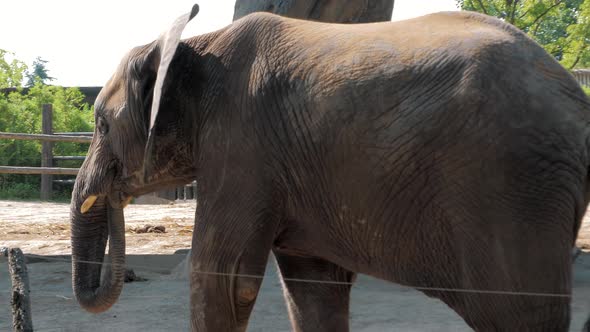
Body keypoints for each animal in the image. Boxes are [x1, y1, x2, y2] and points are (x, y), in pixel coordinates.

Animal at [71, 3, 590, 332]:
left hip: (511, 189)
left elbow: (223, 279)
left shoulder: (240, 145)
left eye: (100, 124)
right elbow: (313, 286)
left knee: (519, 314)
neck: (194, 43)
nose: (112, 191)